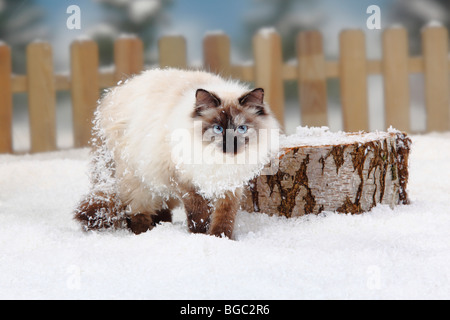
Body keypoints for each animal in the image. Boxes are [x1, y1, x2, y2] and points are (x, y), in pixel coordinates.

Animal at [74, 68, 280, 238]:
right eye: (218, 128)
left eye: (242, 128)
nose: (230, 146)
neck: (218, 162)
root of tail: (111, 98)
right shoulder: (186, 183)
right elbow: (199, 215)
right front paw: (200, 236)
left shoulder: (229, 186)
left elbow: (224, 217)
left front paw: (221, 238)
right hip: (137, 180)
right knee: (136, 212)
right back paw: (146, 233)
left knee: (161, 207)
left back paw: (163, 224)